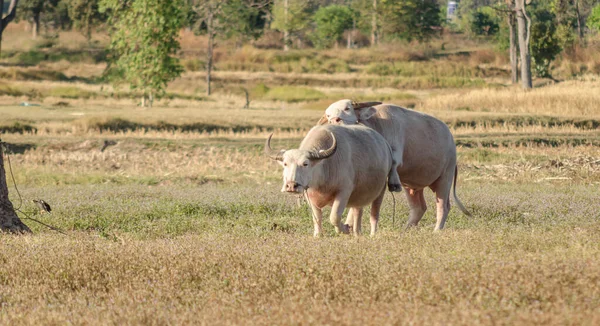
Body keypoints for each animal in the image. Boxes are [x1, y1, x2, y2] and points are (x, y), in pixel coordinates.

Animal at [322, 100, 472, 230]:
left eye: (347, 108)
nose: (334, 120)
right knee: (419, 208)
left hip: (445, 176)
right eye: (328, 115)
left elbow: (394, 162)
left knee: (443, 206)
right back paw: (405, 231)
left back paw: (436, 230)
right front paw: (349, 224)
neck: (377, 125)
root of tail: (451, 141)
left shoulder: (396, 151)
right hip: (412, 185)